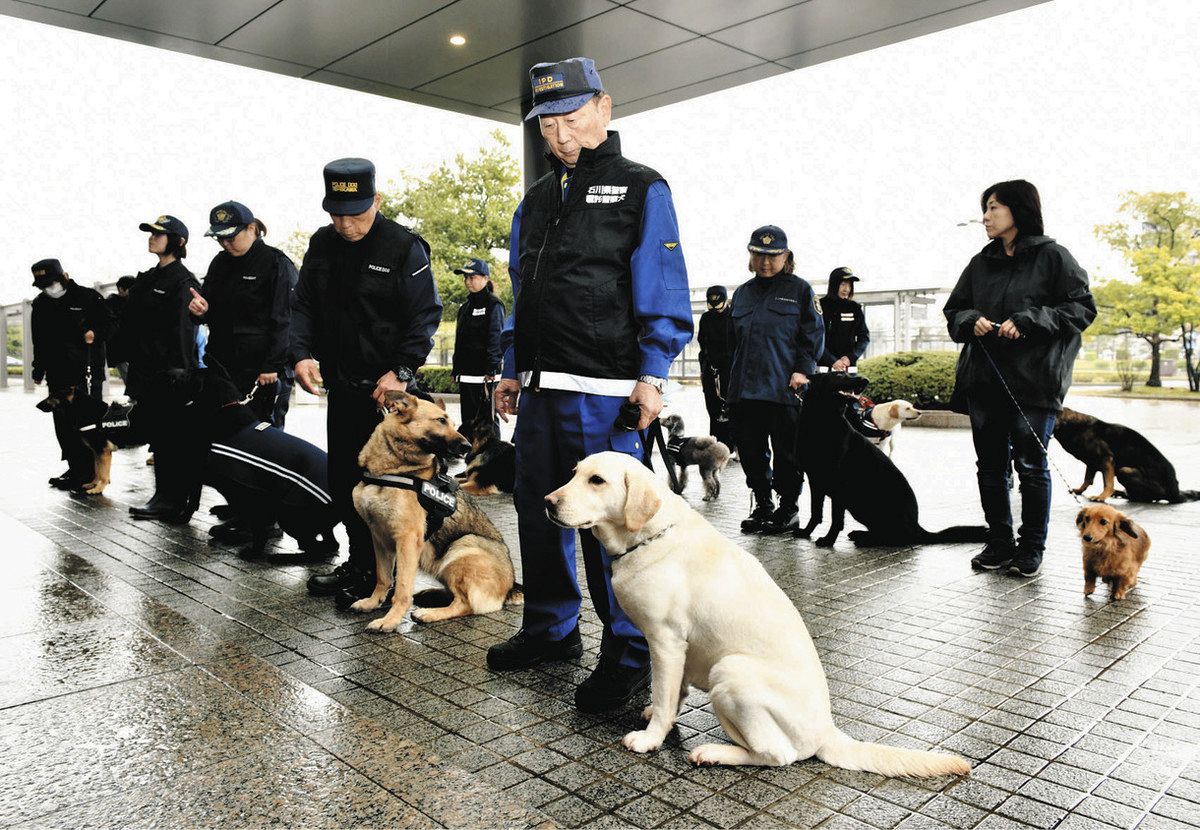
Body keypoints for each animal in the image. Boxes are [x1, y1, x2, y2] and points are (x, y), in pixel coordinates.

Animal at [350, 393, 523, 633]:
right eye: (441, 421)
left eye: (453, 424)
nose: (466, 446)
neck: (391, 470)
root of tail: (510, 586)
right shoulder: (379, 538)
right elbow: (383, 578)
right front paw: (372, 602)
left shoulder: (407, 541)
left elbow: (401, 588)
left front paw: (390, 620)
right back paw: (431, 594)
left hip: (462, 546)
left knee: (465, 603)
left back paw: (429, 614)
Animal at [796, 371, 984, 546]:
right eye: (840, 374)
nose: (866, 380)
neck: (825, 420)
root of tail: (918, 527)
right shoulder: (814, 480)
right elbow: (815, 512)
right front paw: (806, 532)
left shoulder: (839, 486)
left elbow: (836, 519)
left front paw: (828, 540)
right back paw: (860, 534)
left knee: (899, 537)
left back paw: (865, 539)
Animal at [1056, 407, 1195, 501]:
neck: (1076, 427)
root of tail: (1176, 493)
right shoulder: (1092, 463)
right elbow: (1087, 479)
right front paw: (1079, 490)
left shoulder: (1107, 459)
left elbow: (1108, 482)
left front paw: (1102, 496)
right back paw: (1120, 493)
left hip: (1124, 471)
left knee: (1144, 497)